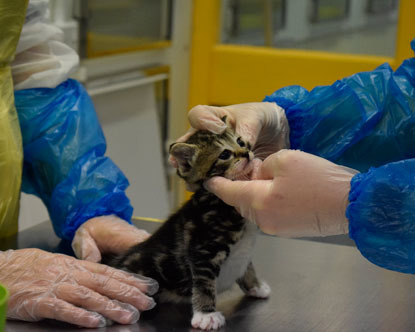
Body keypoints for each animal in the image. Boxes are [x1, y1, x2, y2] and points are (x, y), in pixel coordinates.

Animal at [105, 120, 272, 330]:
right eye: (224, 154)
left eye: (241, 142)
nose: (247, 154)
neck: (222, 204)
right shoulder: (203, 250)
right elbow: (204, 284)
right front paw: (206, 314)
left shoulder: (243, 249)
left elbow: (247, 267)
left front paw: (256, 286)